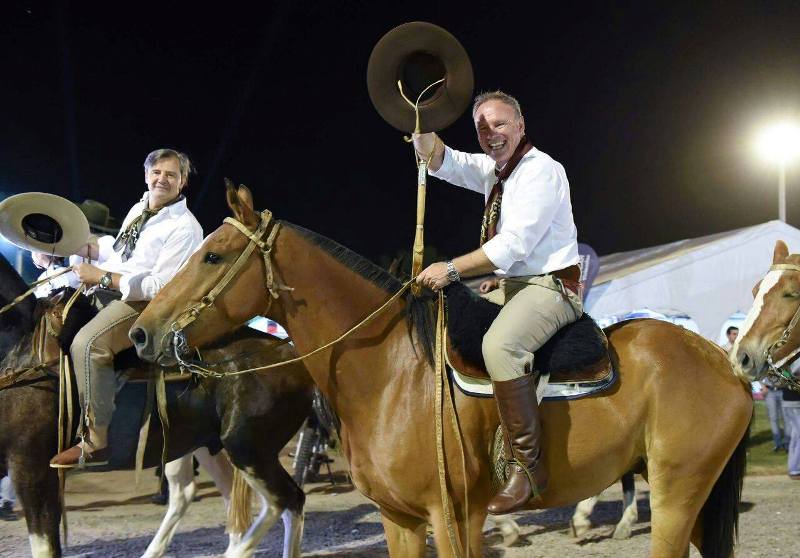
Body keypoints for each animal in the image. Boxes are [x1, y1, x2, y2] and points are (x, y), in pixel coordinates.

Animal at [133, 186, 756, 556]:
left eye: (211, 255)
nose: (142, 332)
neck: (391, 375)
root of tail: (723, 365)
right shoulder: (400, 519)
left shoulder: (453, 516)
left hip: (678, 493)